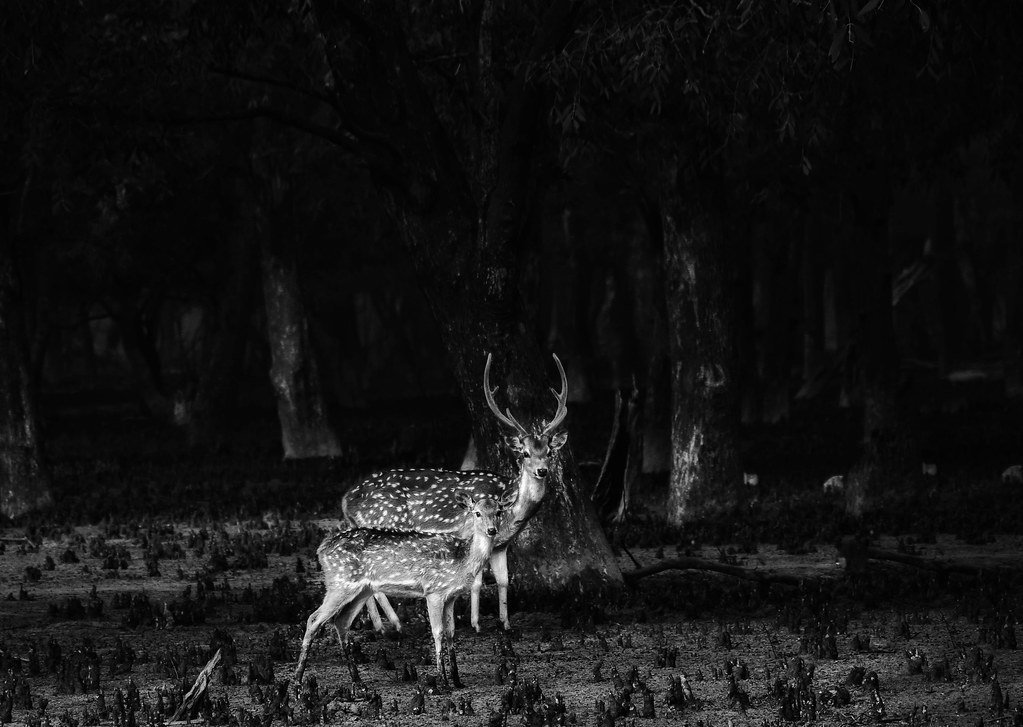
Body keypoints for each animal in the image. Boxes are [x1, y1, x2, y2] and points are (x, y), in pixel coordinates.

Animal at [294, 494, 505, 684]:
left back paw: (358, 682)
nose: (491, 530)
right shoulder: (433, 590)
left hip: (361, 589)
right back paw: (297, 682)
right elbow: (438, 632)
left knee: (341, 621)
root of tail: (321, 550)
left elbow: (451, 632)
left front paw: (457, 680)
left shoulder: (451, 596)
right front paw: (443, 681)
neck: (463, 561)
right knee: (313, 619)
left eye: (498, 511)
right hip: (339, 582)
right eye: (477, 513)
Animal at [340, 352, 569, 633]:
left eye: (549, 452)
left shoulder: (502, 545)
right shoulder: (470, 532)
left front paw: (506, 623)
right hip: (385, 525)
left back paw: (380, 626)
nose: (542, 470)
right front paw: (475, 624)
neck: (511, 513)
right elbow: (477, 581)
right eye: (525, 453)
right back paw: (394, 624)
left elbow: (504, 581)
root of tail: (347, 500)